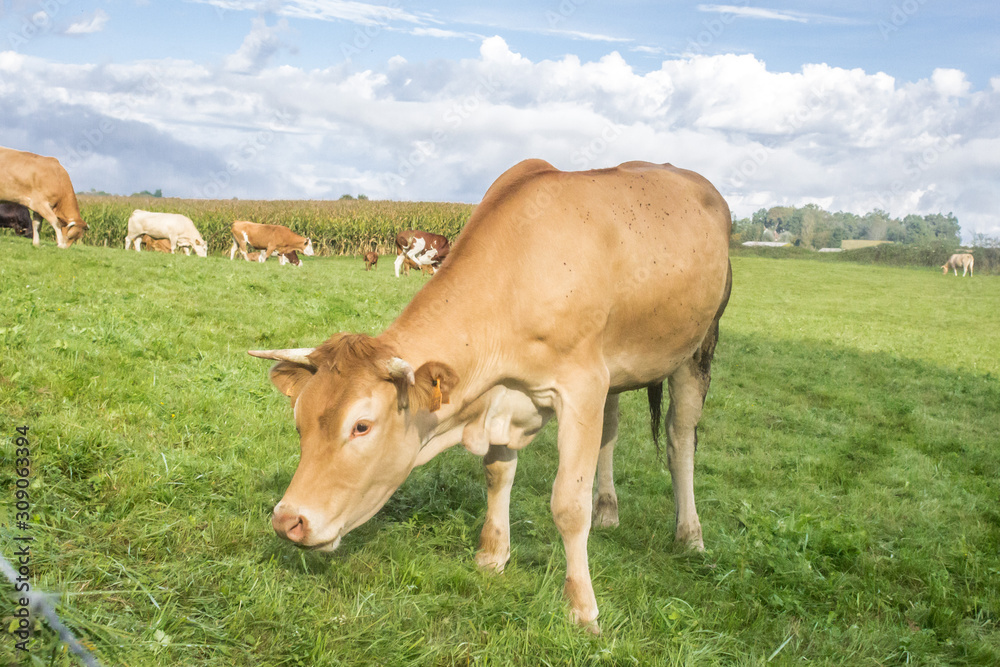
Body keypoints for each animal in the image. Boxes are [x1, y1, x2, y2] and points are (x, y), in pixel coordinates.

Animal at [250, 160, 736, 632]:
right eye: (299, 422)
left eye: (362, 426)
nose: (287, 521)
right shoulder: (515, 395)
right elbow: (498, 475)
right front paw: (493, 554)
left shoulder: (582, 385)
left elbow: (568, 503)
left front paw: (582, 607)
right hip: (616, 370)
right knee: (610, 434)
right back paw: (608, 510)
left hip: (699, 347)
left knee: (679, 438)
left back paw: (689, 534)